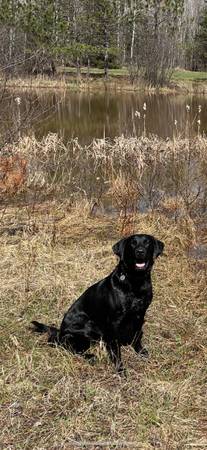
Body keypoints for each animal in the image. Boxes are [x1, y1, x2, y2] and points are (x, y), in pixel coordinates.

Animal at [32, 234, 163, 370]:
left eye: (147, 243)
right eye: (132, 243)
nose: (140, 251)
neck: (135, 281)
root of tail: (61, 332)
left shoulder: (140, 314)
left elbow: (137, 336)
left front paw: (141, 352)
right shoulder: (114, 322)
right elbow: (115, 348)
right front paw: (119, 367)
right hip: (89, 326)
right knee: (69, 348)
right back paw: (91, 356)